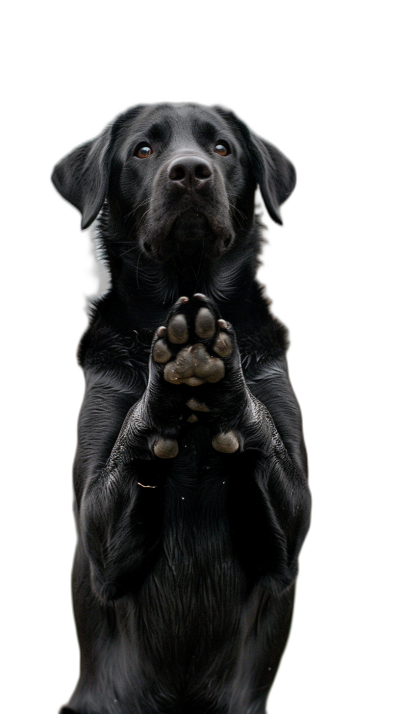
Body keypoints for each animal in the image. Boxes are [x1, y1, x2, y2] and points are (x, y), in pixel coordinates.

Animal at [50, 101, 312, 712]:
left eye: (222, 148)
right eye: (143, 150)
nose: (190, 171)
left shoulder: (289, 535)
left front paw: (225, 377)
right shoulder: (98, 535)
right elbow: (131, 444)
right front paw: (164, 384)